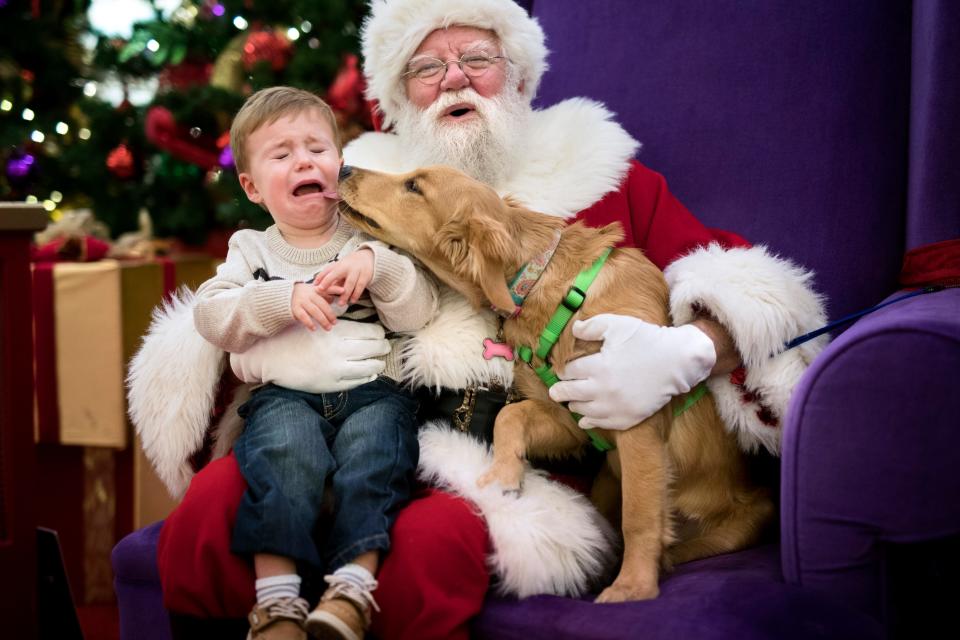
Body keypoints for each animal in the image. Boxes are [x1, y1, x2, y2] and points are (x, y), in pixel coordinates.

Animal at [338, 166, 772, 604]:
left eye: (414, 186)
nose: (344, 167)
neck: (544, 287)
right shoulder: (572, 420)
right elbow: (509, 417)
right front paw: (504, 475)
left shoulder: (637, 424)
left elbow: (639, 515)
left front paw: (633, 587)